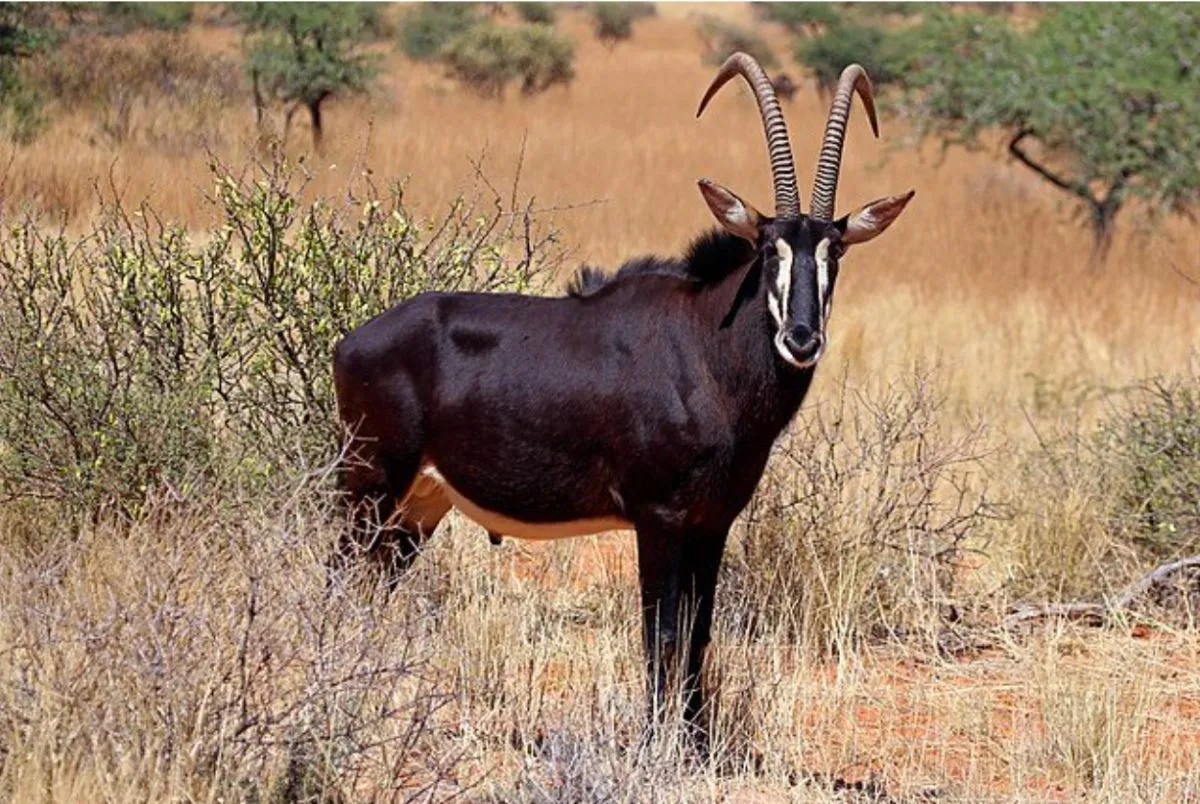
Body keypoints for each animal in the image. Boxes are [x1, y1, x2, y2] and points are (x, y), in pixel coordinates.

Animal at [331, 53, 914, 744]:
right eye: (768, 247)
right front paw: (656, 745)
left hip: (418, 505)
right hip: (368, 484)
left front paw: (694, 743)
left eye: (835, 252)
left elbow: (697, 635)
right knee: (340, 576)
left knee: (372, 586)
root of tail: (351, 342)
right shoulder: (659, 519)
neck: (706, 349)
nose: (801, 337)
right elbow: (660, 637)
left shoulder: (712, 523)